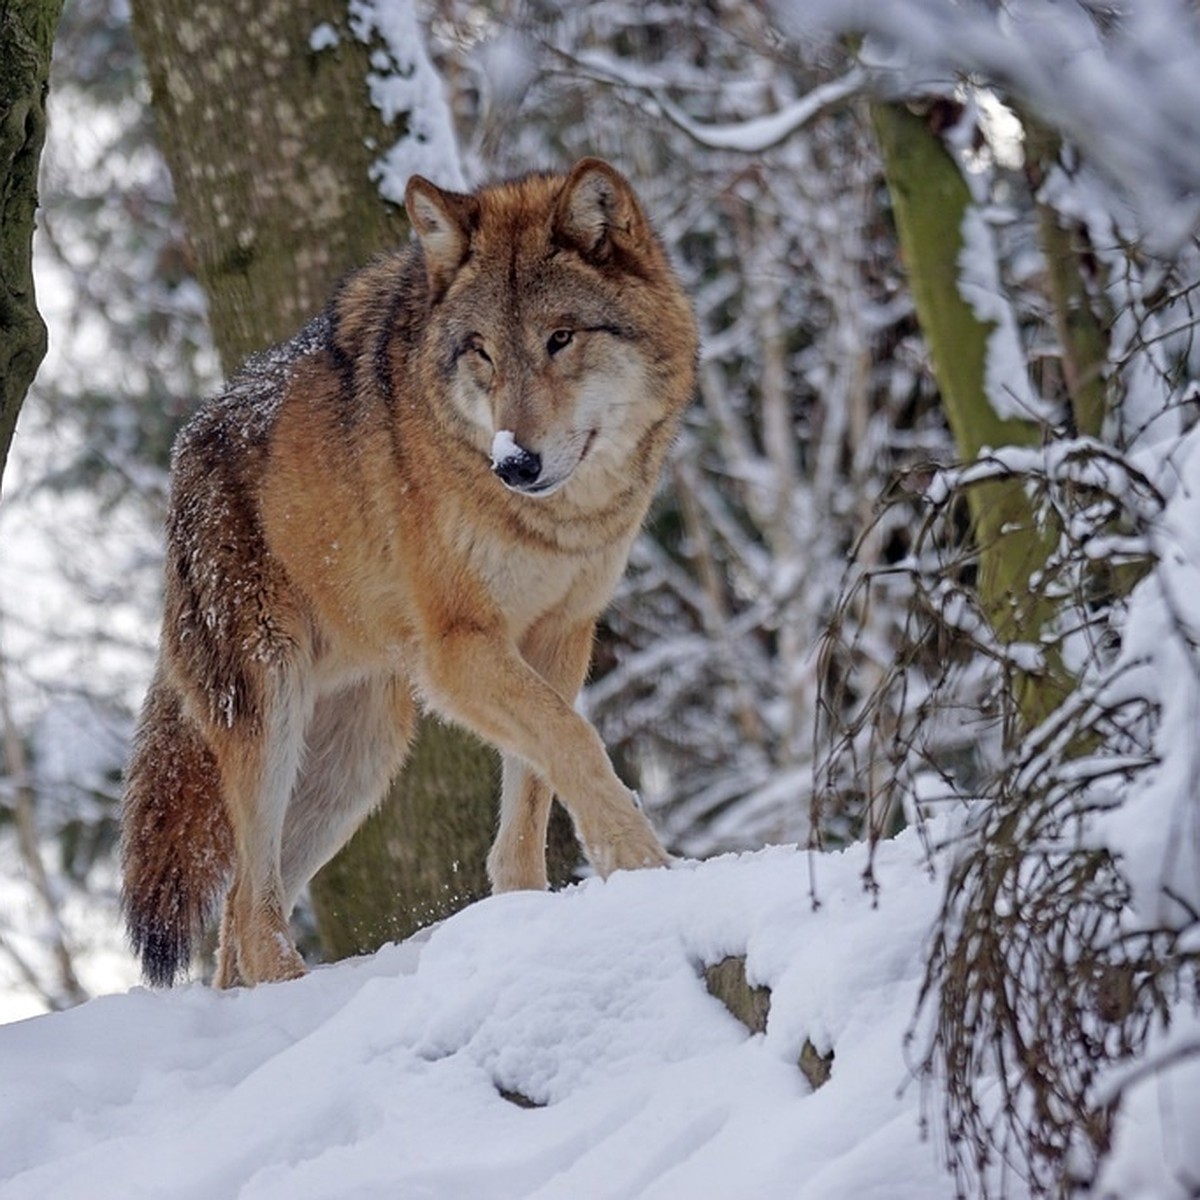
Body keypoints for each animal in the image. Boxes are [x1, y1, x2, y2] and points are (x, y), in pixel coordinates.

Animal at [117, 157, 700, 984]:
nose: (515, 463)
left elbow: (535, 790)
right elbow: (577, 743)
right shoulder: (459, 649)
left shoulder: (560, 637)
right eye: (481, 349)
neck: (556, 523)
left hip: (358, 760)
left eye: (560, 338)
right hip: (272, 713)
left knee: (237, 917)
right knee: (252, 910)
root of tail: (184, 452)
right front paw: (643, 866)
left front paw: (529, 915)